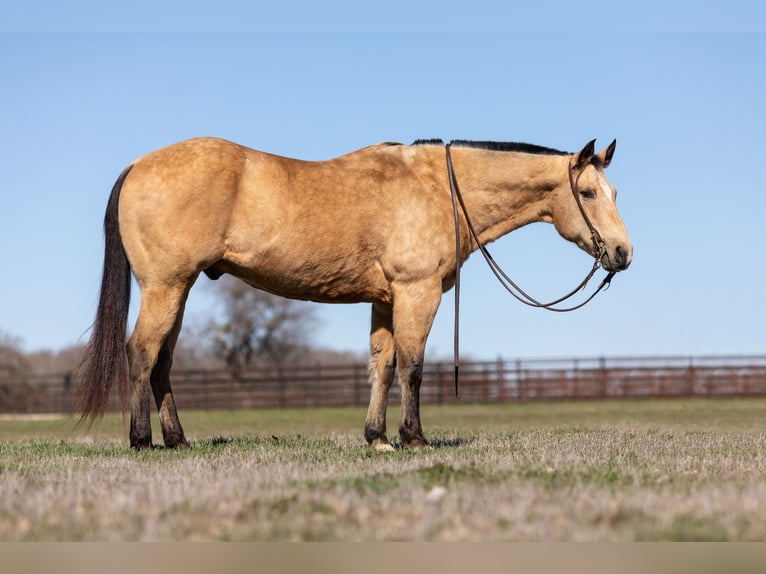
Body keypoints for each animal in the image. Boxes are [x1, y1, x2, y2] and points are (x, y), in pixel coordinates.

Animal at [75, 137, 632, 452]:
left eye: (613, 193)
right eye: (587, 193)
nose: (623, 253)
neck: (439, 189)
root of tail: (137, 165)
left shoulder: (385, 300)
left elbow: (381, 367)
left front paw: (377, 438)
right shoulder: (416, 292)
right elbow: (412, 366)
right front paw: (414, 438)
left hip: (179, 290)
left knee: (162, 362)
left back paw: (178, 440)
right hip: (166, 286)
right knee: (141, 353)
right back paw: (142, 441)